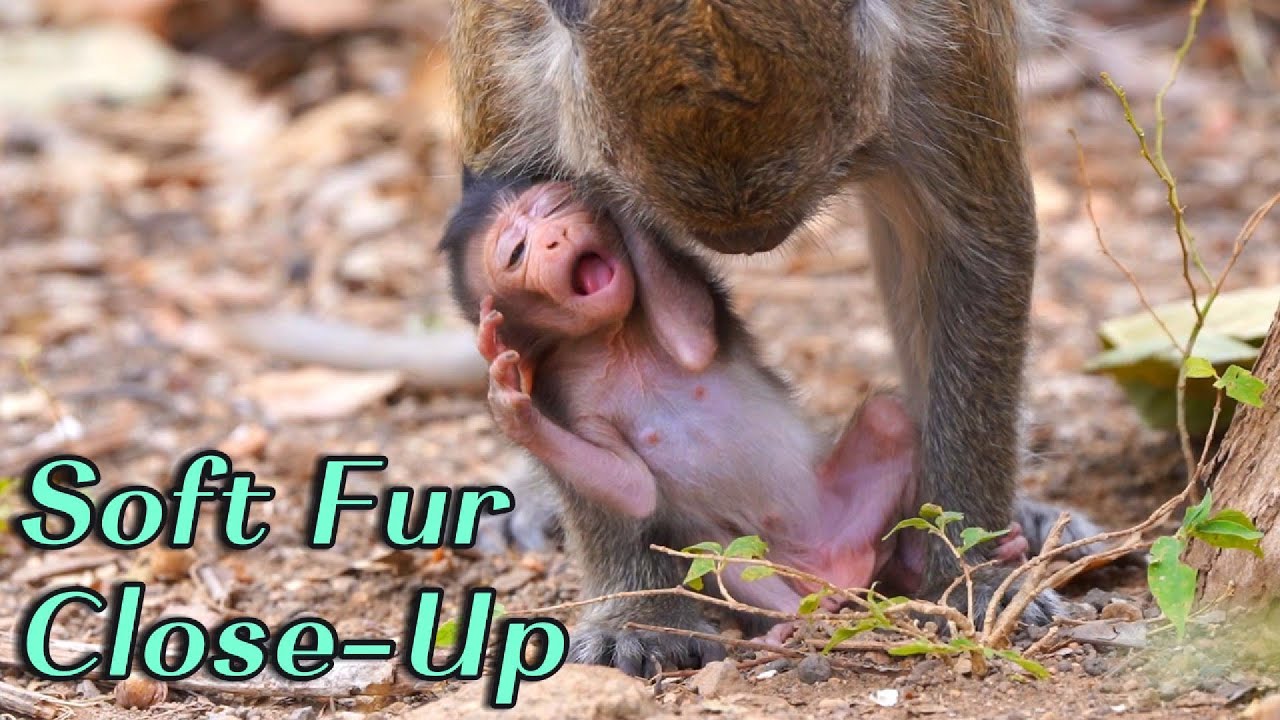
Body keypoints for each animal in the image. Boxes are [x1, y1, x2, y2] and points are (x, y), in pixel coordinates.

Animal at [449, 0, 1052, 667]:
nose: (749, 242)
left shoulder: (948, 47)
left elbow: (974, 246)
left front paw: (972, 575)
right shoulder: (506, 55)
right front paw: (637, 611)